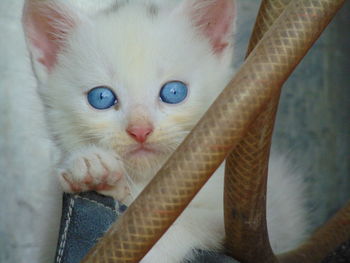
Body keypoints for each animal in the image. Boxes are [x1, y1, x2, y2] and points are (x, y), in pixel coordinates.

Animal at [21, 1, 308, 262]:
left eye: (173, 92)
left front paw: (151, 247)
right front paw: (93, 169)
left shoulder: (260, 221)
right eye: (101, 97)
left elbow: (192, 220)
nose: (140, 130)